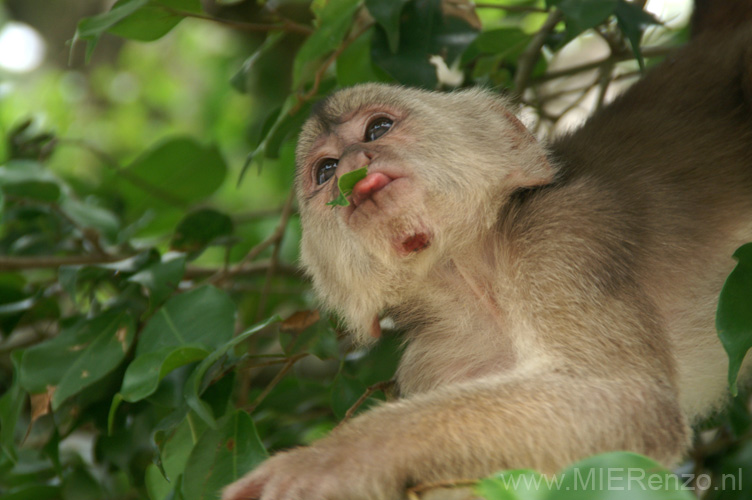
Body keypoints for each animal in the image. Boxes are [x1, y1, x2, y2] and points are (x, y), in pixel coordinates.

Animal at [222, 5, 752, 500]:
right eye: (326, 170)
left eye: (377, 129)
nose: (354, 164)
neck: (475, 283)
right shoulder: (433, 364)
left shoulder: (559, 236)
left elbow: (626, 400)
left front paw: (335, 458)